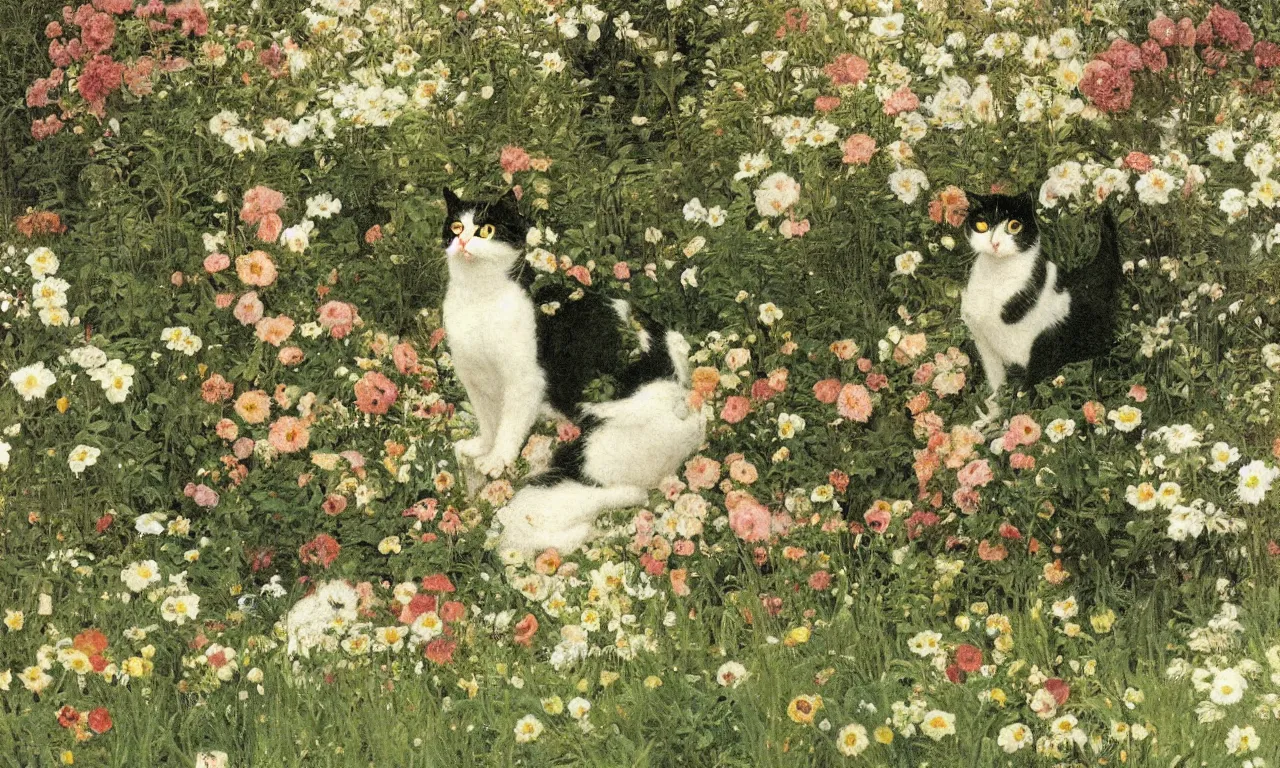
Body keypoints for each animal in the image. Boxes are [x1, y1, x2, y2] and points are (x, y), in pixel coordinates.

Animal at [437, 186, 701, 552]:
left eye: (486, 230)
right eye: (456, 227)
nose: (463, 242)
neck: (477, 298)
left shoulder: (524, 381)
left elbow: (508, 427)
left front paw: (497, 460)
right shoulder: (475, 379)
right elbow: (489, 423)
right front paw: (482, 449)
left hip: (593, 452)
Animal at [962, 186, 1121, 424]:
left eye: (1014, 225)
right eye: (982, 225)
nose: (995, 244)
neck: (996, 279)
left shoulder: (1039, 350)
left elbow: (1025, 395)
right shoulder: (984, 344)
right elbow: (996, 384)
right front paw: (991, 417)